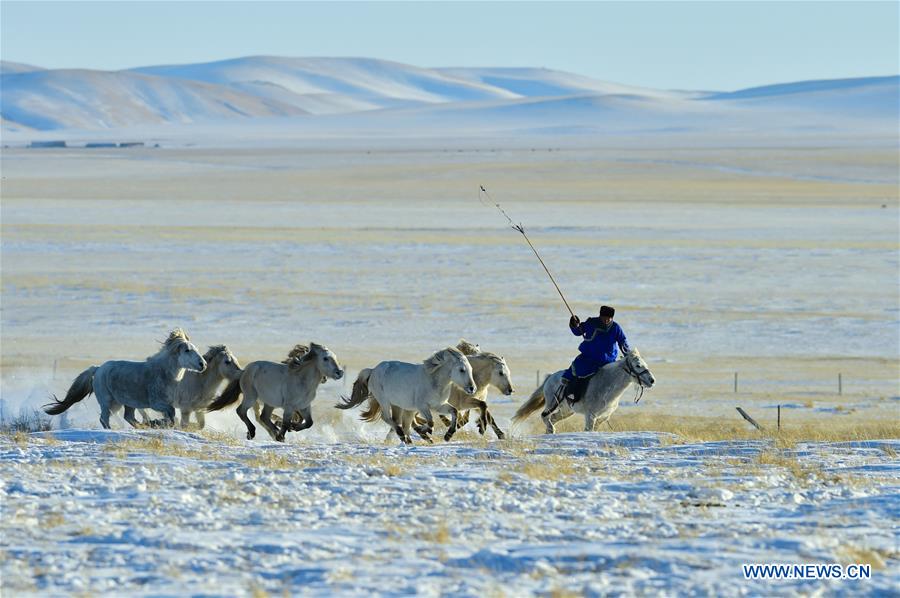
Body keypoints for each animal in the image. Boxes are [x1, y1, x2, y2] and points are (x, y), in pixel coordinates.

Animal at [45, 330, 206, 428]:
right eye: (187, 350)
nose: (202, 364)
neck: (164, 373)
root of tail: (98, 368)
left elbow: (172, 416)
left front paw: (156, 423)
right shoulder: (156, 403)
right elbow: (171, 413)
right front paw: (158, 422)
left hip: (128, 403)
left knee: (129, 417)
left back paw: (142, 426)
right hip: (108, 401)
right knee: (104, 418)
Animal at [338, 346, 478, 446]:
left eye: (470, 369)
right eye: (461, 370)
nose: (472, 388)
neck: (433, 380)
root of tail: (373, 370)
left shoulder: (438, 405)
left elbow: (454, 411)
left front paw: (448, 435)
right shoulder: (422, 406)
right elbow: (431, 422)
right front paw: (424, 430)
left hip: (397, 406)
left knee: (398, 421)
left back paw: (406, 440)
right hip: (384, 401)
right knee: (387, 418)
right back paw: (402, 435)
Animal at [512, 350, 652, 434]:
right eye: (638, 365)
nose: (652, 380)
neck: (607, 385)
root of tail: (550, 377)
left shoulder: (603, 416)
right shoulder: (591, 415)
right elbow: (588, 430)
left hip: (566, 411)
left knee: (552, 418)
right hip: (552, 403)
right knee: (545, 416)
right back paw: (551, 429)